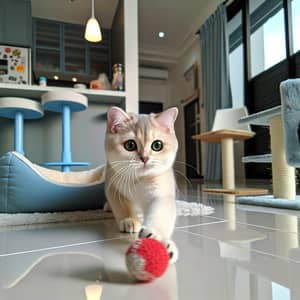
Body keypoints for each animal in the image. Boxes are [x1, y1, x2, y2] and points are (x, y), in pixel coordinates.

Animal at [104, 105, 178, 262]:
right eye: (130, 145)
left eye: (157, 145)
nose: (144, 158)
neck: (139, 179)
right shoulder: (112, 187)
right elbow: (121, 206)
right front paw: (129, 220)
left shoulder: (162, 194)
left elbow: (161, 213)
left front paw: (156, 235)